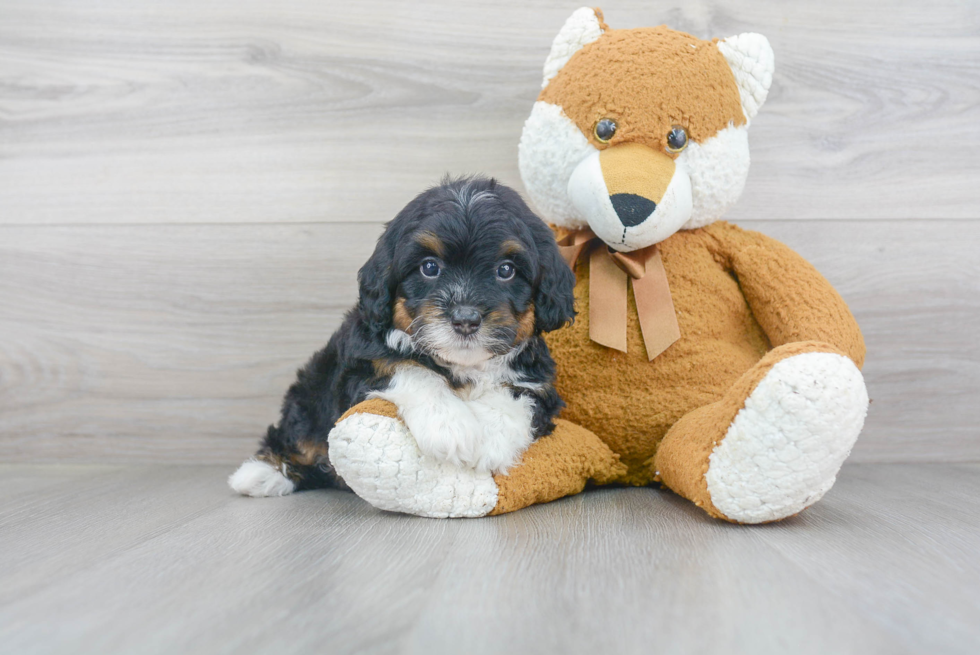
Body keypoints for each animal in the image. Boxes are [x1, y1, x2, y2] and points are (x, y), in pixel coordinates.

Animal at [231, 178, 580, 498]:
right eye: (429, 267)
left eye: (506, 270)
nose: (465, 319)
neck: (464, 365)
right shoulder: (360, 366)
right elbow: (407, 368)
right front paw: (449, 426)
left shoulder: (540, 384)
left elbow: (516, 396)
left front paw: (488, 439)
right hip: (310, 392)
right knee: (298, 434)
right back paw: (263, 473)